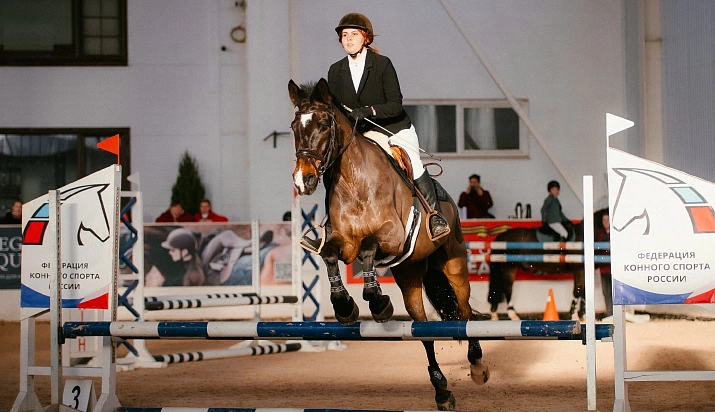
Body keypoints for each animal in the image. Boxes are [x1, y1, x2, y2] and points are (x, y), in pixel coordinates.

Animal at [288, 79, 490, 410]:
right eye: (294, 126)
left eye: (323, 124)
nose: (302, 180)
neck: (353, 179)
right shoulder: (344, 243)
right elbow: (330, 255)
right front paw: (345, 306)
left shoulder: (392, 236)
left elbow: (370, 247)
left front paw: (378, 302)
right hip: (411, 274)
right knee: (423, 331)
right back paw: (442, 391)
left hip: (454, 264)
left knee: (464, 312)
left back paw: (477, 366)